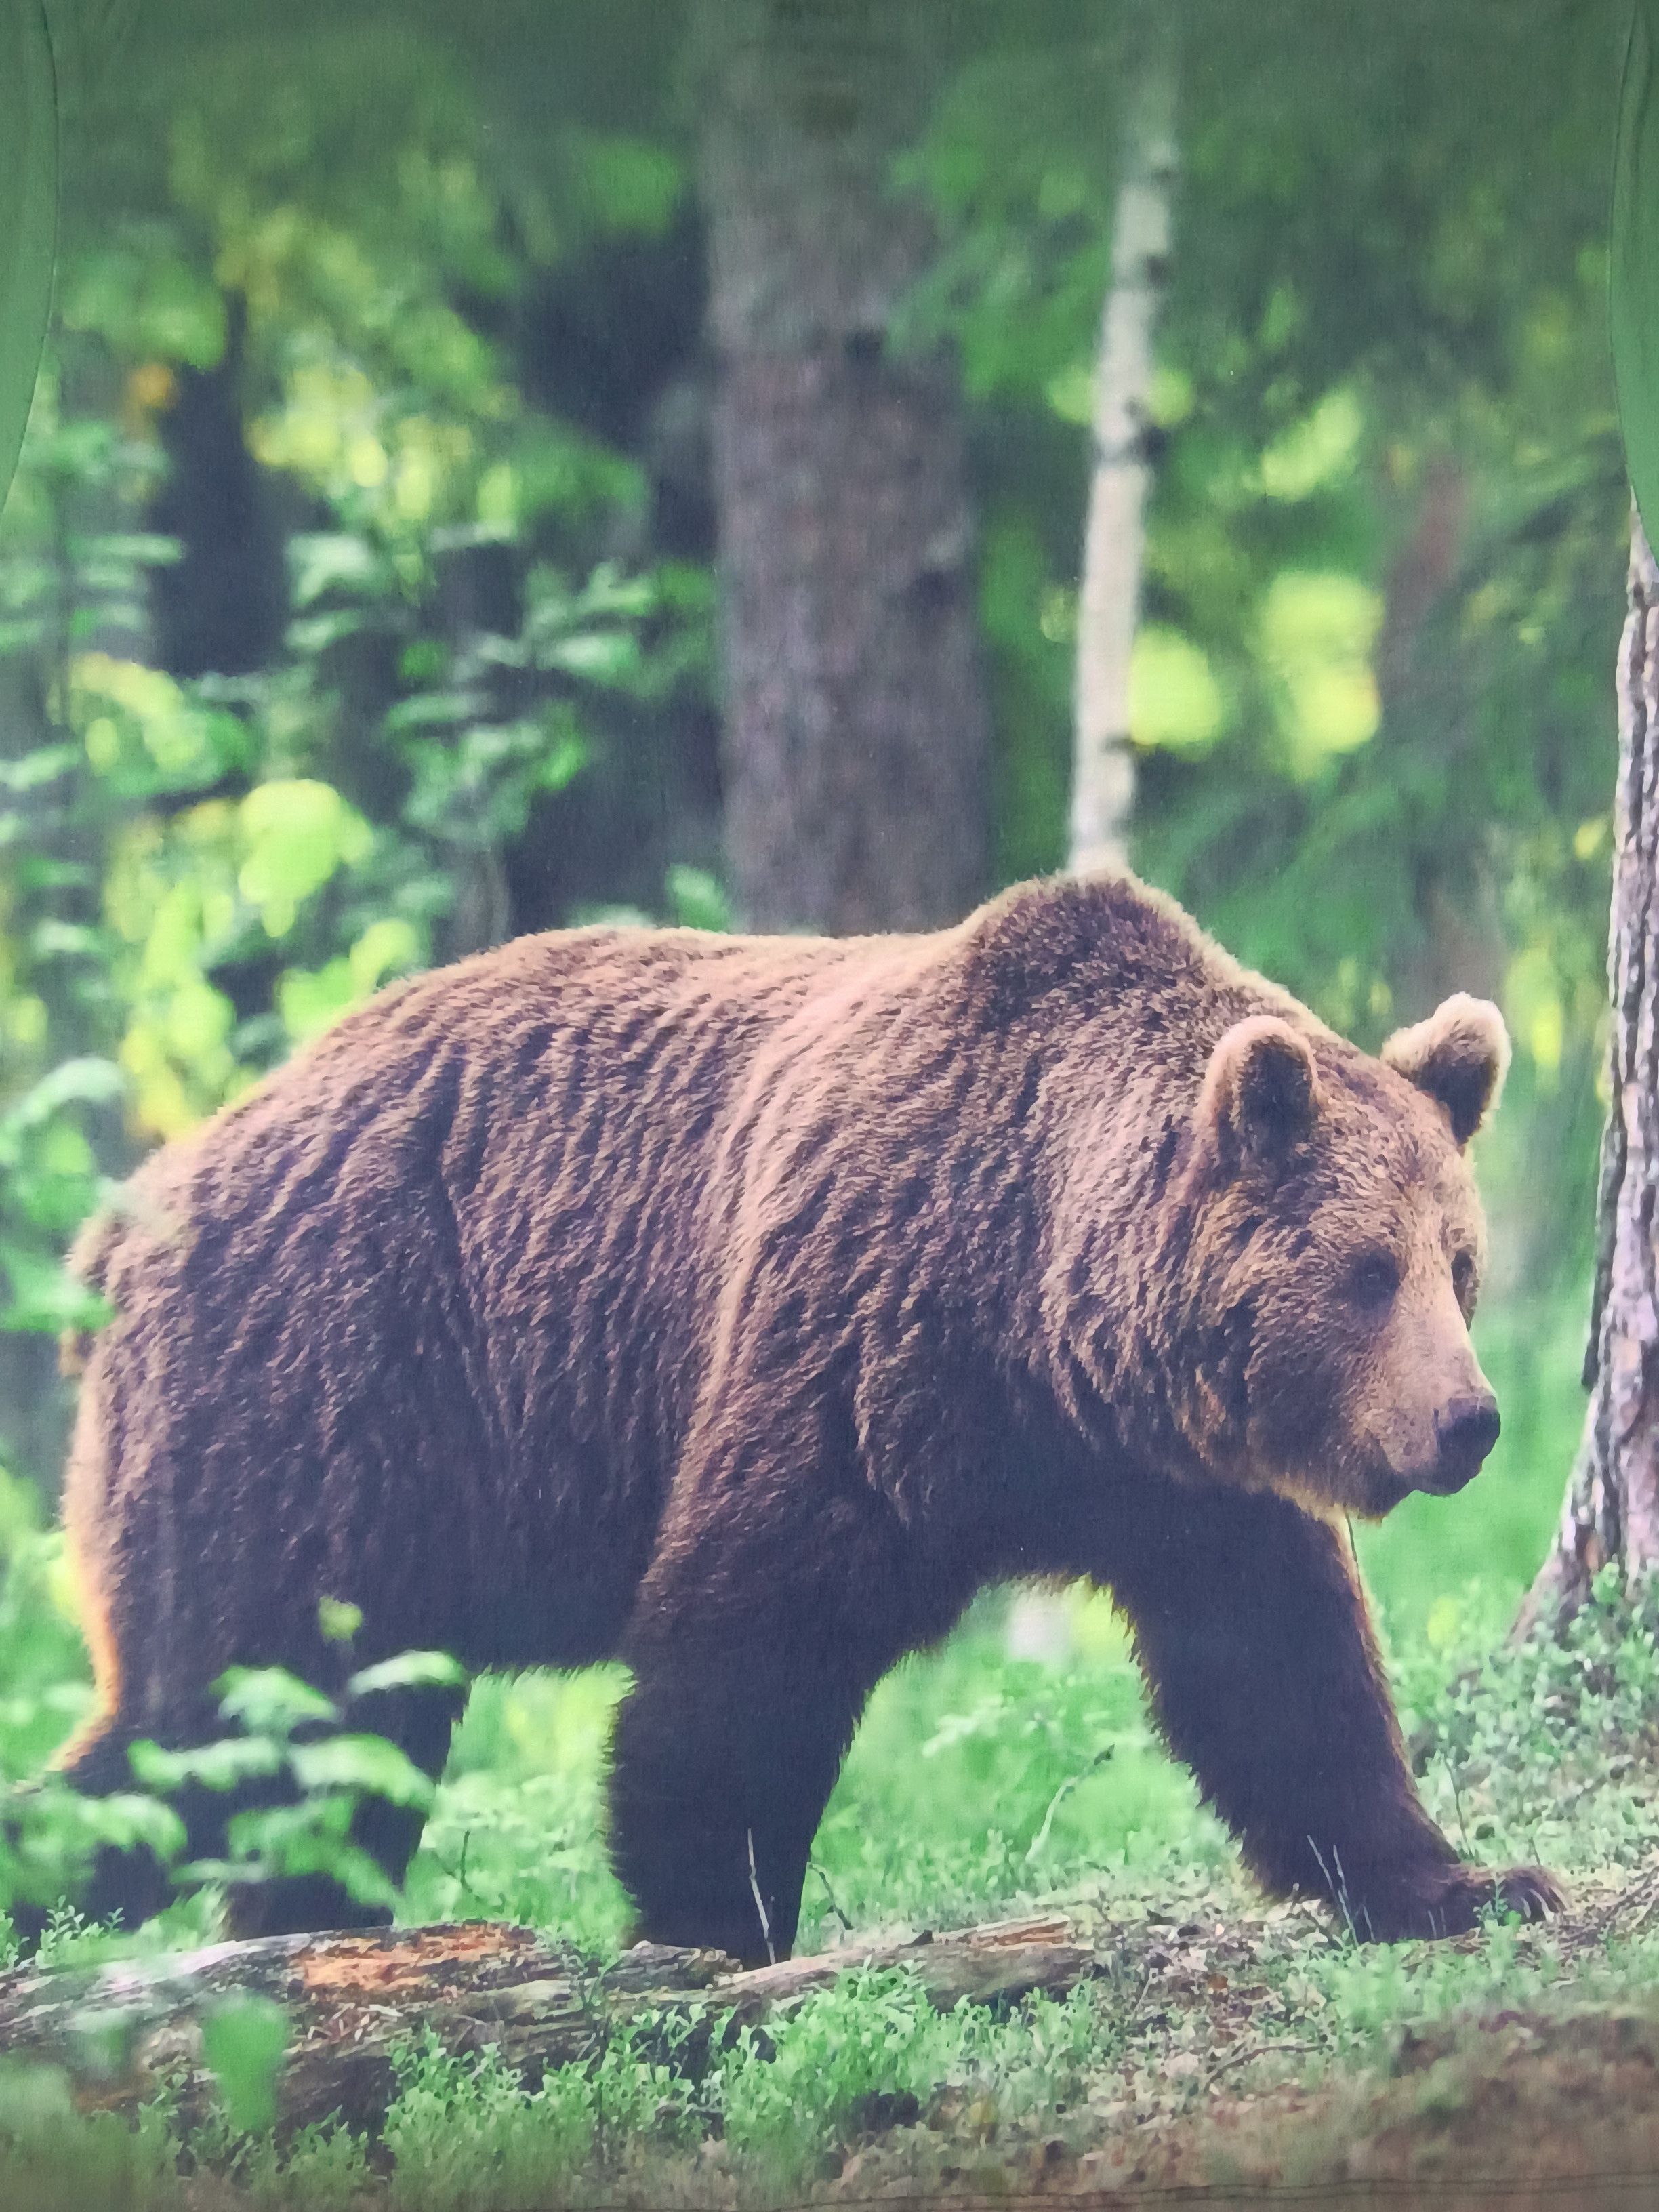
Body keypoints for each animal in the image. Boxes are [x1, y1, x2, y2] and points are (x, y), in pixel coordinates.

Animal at [45, 870, 1560, 1961]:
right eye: (1365, 1271)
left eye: (1457, 1263)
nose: (1467, 1420)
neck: (1048, 1325)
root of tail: (129, 1216)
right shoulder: (859, 1340)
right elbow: (743, 1649)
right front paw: (716, 1924)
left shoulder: (1178, 1481)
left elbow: (1285, 1675)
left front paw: (1464, 1878)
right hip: (323, 1397)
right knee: (218, 1720)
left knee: (315, 1758)